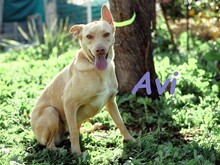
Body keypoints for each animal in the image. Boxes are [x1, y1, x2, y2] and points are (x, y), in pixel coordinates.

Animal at [30, 5, 135, 155]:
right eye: (89, 36)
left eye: (106, 34)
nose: (100, 50)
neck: (97, 71)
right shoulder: (69, 102)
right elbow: (73, 132)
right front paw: (76, 153)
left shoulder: (111, 102)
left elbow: (121, 123)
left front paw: (131, 140)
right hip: (51, 112)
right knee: (52, 143)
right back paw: (61, 151)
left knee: (76, 130)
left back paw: (94, 129)